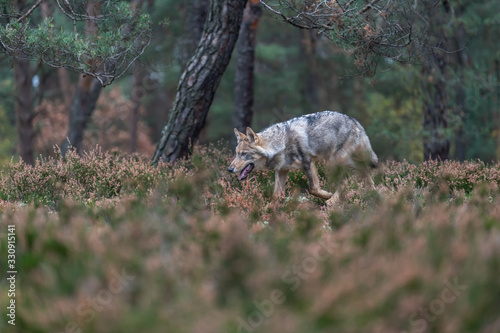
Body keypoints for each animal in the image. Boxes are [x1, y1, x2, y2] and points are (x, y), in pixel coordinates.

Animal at [228, 110, 378, 201]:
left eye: (244, 154)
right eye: (236, 154)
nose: (229, 169)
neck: (281, 144)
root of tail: (354, 121)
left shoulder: (308, 162)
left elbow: (313, 189)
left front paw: (326, 195)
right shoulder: (282, 170)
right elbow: (276, 194)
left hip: (334, 161)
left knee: (346, 181)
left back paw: (332, 202)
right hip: (345, 161)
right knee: (363, 170)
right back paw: (374, 194)